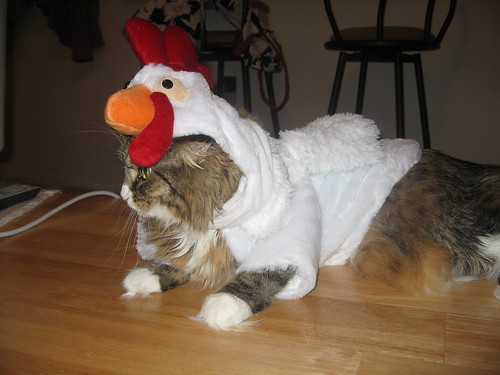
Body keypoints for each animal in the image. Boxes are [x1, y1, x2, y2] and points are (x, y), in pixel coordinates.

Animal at [118, 131, 500, 328]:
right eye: (125, 169)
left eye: (145, 173)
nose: (122, 193)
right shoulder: (205, 246)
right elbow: (183, 261)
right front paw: (147, 276)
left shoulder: (286, 241)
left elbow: (256, 276)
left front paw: (222, 305)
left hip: (460, 238)